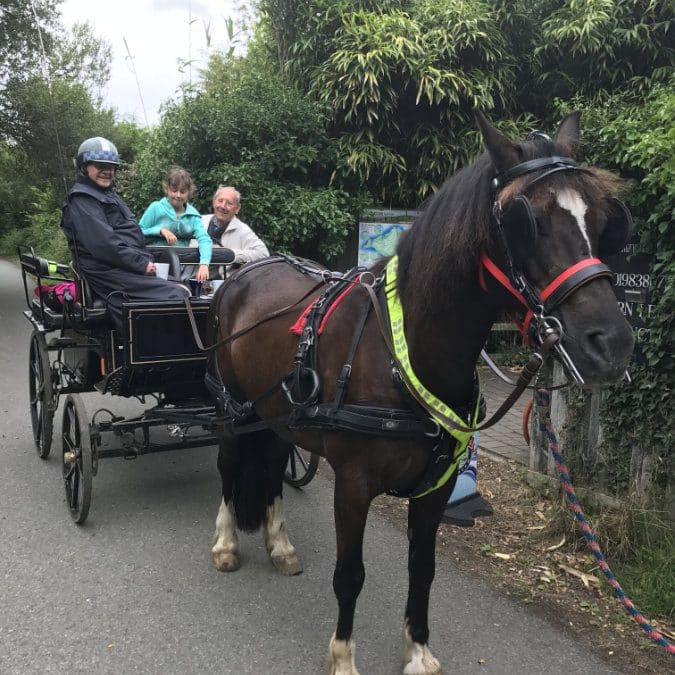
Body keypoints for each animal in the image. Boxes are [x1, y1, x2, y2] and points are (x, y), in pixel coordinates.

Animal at [205, 113, 632, 672]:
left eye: (603, 220)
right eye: (527, 222)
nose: (614, 343)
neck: (401, 354)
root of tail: (243, 273)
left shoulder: (437, 487)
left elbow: (423, 570)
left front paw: (417, 650)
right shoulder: (353, 484)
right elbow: (350, 575)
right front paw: (343, 657)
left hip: (278, 413)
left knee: (274, 464)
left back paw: (280, 545)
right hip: (233, 410)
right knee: (229, 467)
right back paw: (226, 542)